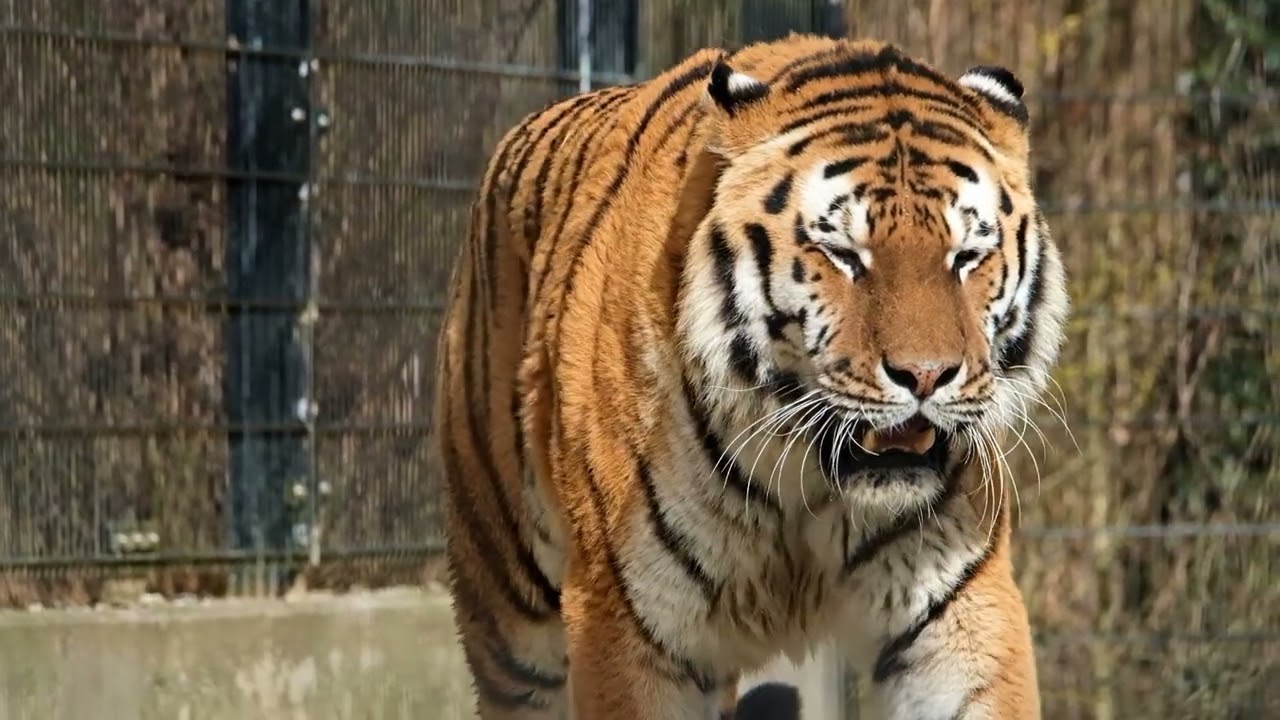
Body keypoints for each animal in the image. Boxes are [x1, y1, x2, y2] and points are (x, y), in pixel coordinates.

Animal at [433, 32, 1069, 720]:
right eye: (844, 255)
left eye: (967, 257)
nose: (926, 377)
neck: (807, 485)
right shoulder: (629, 621)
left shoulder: (951, 604)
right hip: (510, 613)